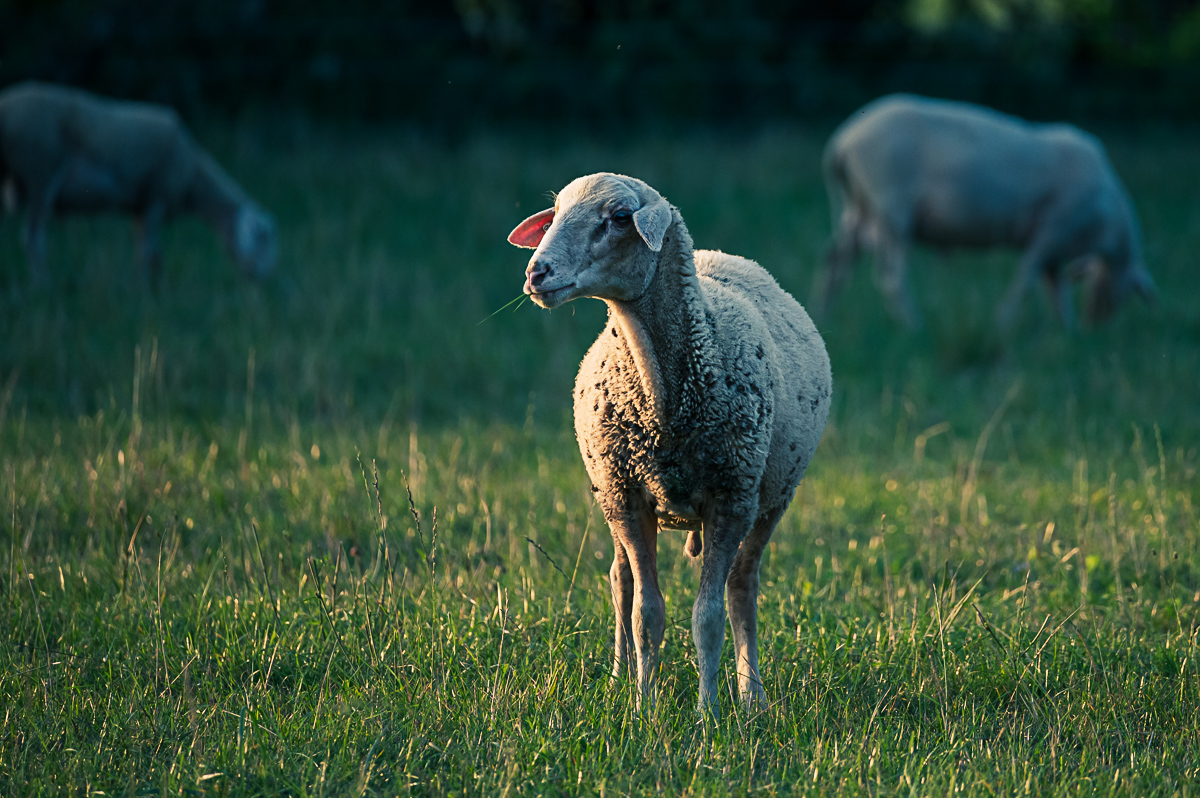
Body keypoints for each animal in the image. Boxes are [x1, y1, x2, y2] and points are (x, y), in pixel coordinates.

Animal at [0, 81, 277, 288]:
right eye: (263, 239)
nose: (262, 279)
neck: (193, 178)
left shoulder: (139, 208)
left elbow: (151, 251)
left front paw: (157, 287)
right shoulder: (157, 198)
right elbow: (148, 252)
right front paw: (144, 290)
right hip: (41, 170)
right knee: (32, 239)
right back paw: (43, 286)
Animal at [508, 173, 831, 717]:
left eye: (619, 217)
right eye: (554, 214)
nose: (536, 272)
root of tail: (718, 255)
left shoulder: (731, 499)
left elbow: (708, 616)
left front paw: (708, 714)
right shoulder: (627, 496)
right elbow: (646, 611)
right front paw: (644, 706)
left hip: (771, 499)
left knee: (742, 589)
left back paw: (751, 695)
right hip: (609, 494)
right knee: (620, 580)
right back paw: (619, 677)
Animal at [814, 93, 1158, 330]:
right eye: (1126, 292)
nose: (1094, 328)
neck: (1106, 229)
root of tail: (843, 142)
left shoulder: (1056, 249)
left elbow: (1055, 291)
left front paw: (1066, 332)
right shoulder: (1053, 229)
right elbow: (1027, 277)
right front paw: (1003, 322)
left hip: (857, 210)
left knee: (835, 264)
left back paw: (822, 317)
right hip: (891, 208)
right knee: (891, 277)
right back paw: (913, 327)